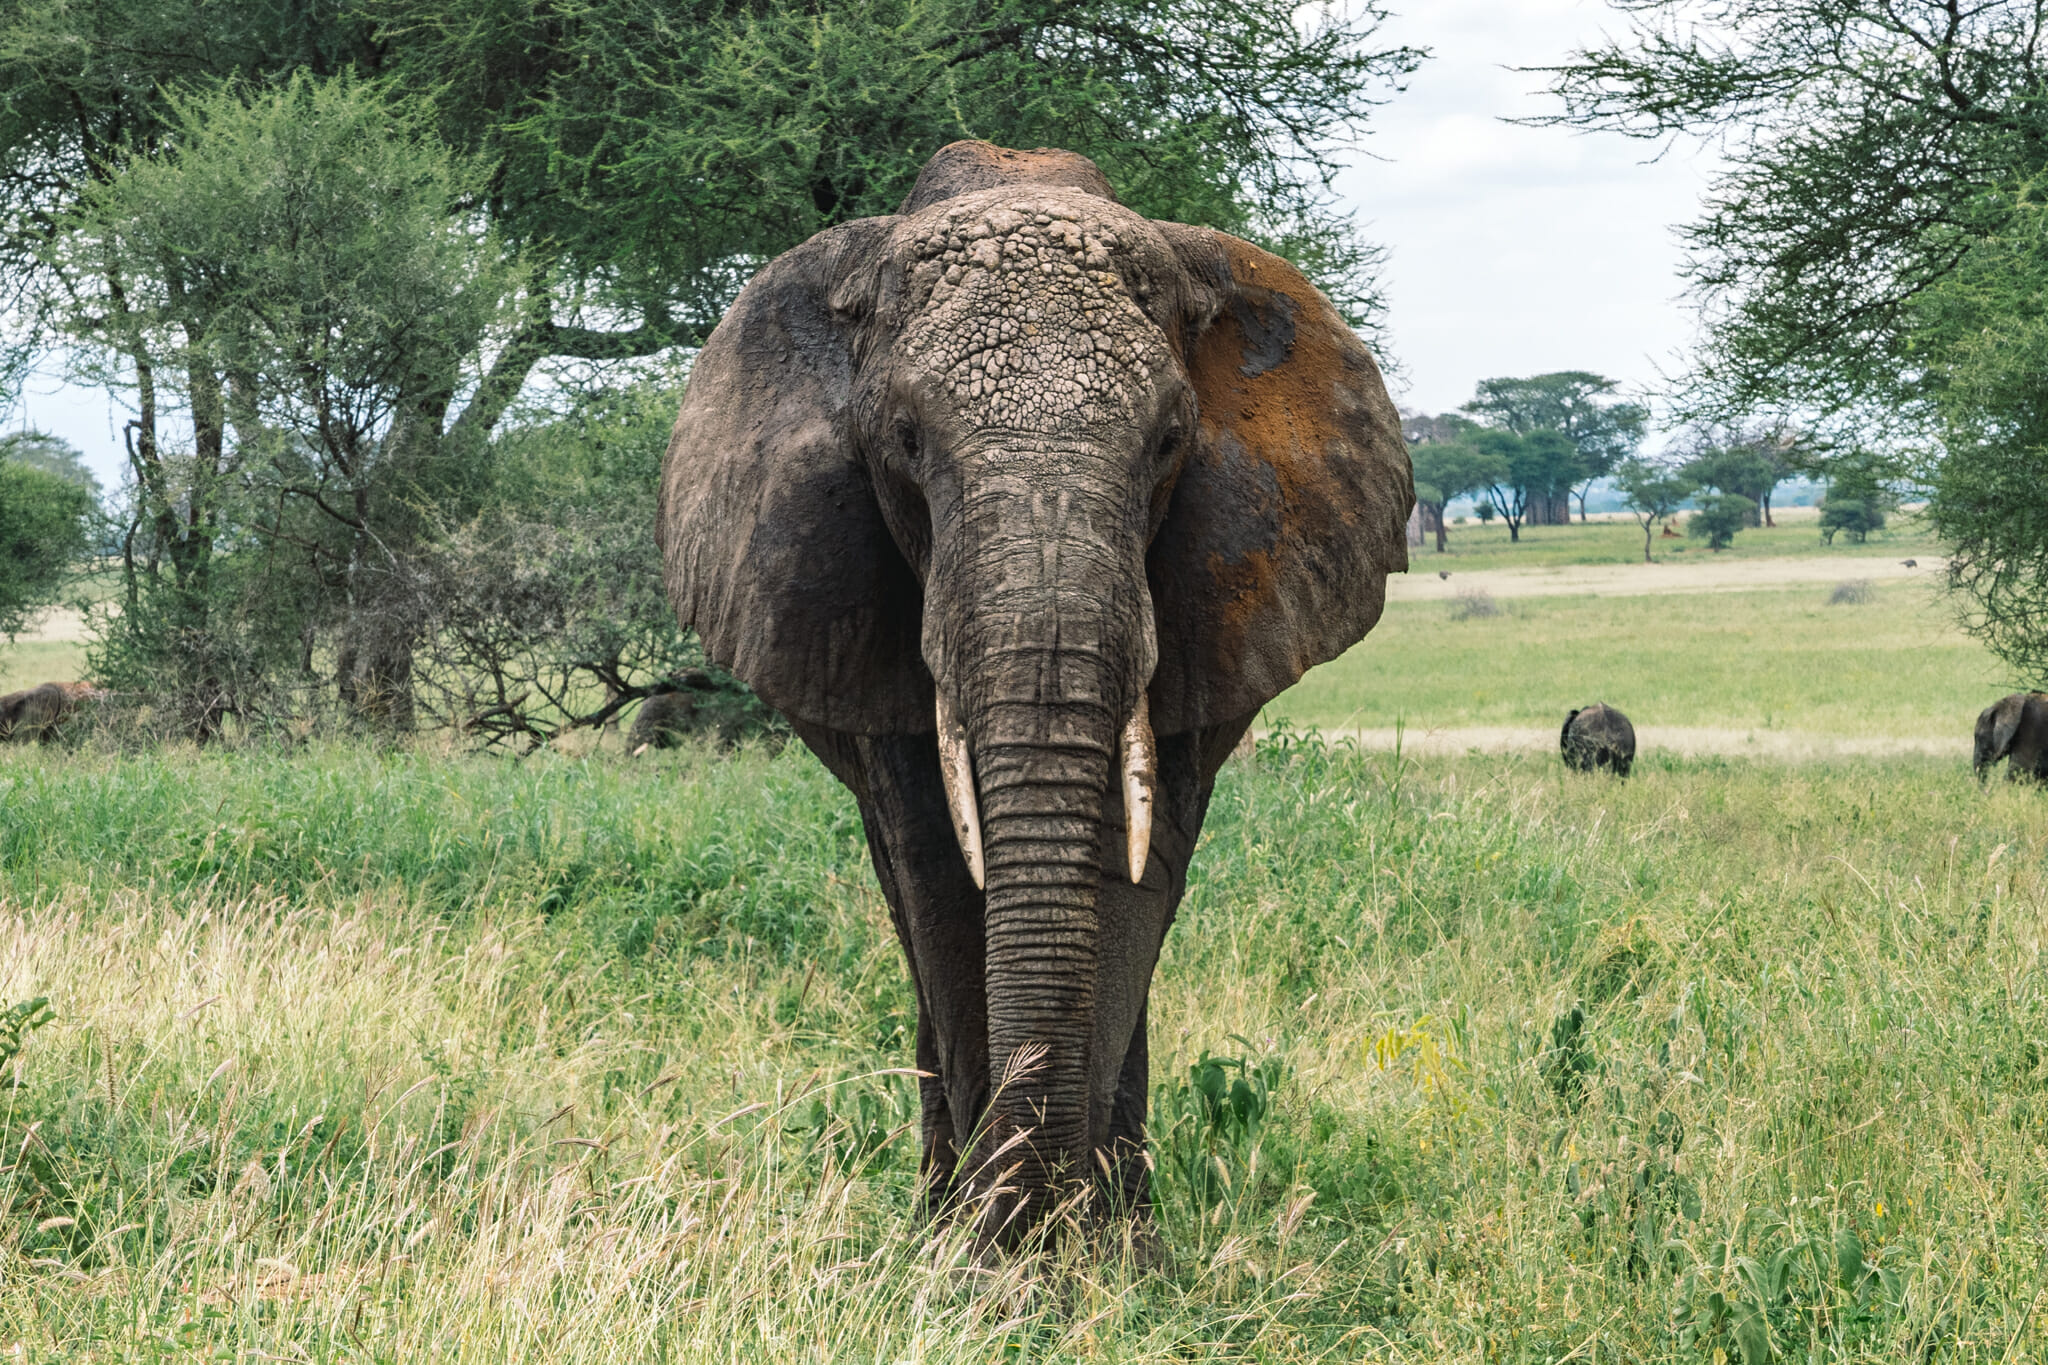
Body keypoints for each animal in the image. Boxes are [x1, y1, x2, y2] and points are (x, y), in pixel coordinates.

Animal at [658, 141, 1412, 1249]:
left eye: (1167, 442)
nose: (1039, 1221)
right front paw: (987, 1261)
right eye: (906, 440)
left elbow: (1138, 868)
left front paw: (1102, 1260)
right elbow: (938, 871)